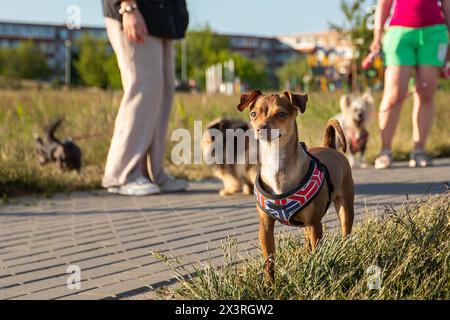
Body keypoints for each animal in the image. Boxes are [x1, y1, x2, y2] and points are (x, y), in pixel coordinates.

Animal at [237, 90, 354, 282]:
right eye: (253, 114)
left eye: (281, 114)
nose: (261, 127)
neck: (276, 163)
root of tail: (328, 147)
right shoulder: (265, 227)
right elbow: (269, 262)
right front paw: (270, 285)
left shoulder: (315, 224)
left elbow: (317, 254)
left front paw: (315, 275)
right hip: (307, 225)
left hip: (344, 209)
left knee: (346, 234)